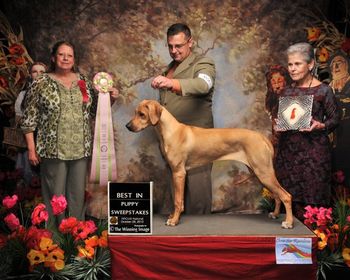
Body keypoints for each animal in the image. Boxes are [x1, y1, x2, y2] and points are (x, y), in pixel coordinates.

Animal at [126, 99, 292, 229]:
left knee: (286, 196)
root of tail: (262, 137)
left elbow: (178, 200)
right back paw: (275, 214)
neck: (170, 131)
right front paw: (173, 216)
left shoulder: (179, 173)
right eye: (135, 112)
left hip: (263, 173)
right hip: (260, 174)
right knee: (277, 195)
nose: (128, 126)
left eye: (142, 114)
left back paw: (288, 222)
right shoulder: (173, 172)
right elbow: (176, 199)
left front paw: (174, 221)